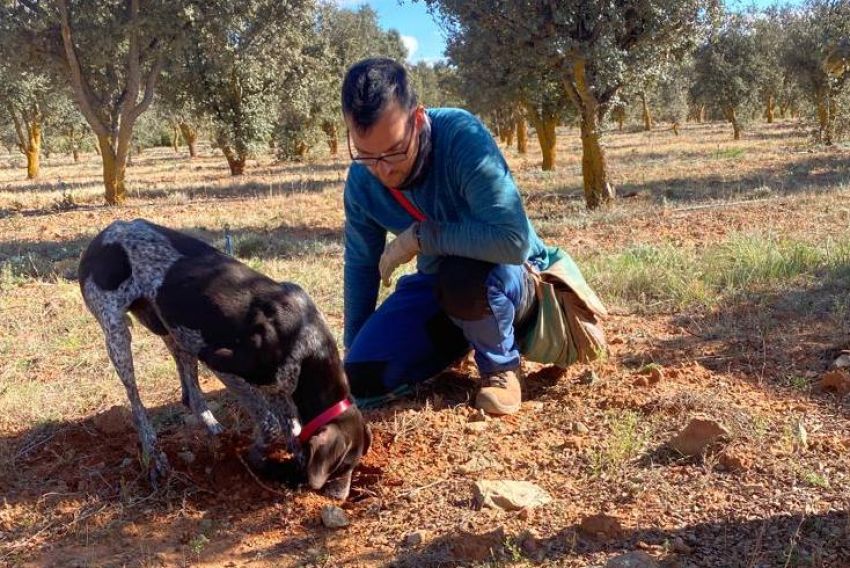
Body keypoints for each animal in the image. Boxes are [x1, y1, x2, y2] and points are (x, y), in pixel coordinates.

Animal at [78, 220, 368, 500]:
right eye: (342, 466)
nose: (341, 497)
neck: (308, 343)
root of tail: (102, 236)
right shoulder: (223, 365)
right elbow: (271, 424)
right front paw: (257, 458)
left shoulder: (277, 385)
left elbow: (290, 427)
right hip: (118, 335)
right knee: (137, 404)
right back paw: (154, 454)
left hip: (174, 330)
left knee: (191, 395)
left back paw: (211, 428)